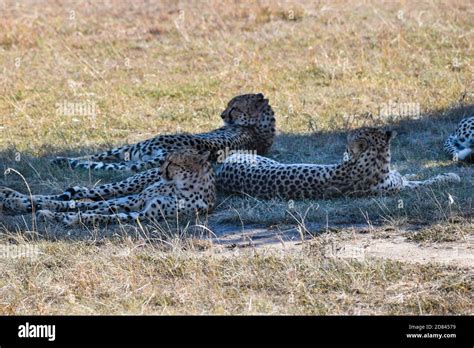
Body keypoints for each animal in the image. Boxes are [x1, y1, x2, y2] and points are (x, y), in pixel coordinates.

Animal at [0, 149, 216, 226]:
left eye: (173, 163)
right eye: (166, 160)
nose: (161, 170)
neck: (182, 187)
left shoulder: (142, 213)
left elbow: (99, 214)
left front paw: (67, 218)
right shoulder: (136, 201)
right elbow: (88, 207)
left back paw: (14, 200)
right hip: (127, 187)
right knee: (80, 192)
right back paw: (12, 197)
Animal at [52, 93, 276, 172]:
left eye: (234, 107)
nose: (222, 115)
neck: (259, 127)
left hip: (135, 148)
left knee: (99, 160)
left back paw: (60, 160)